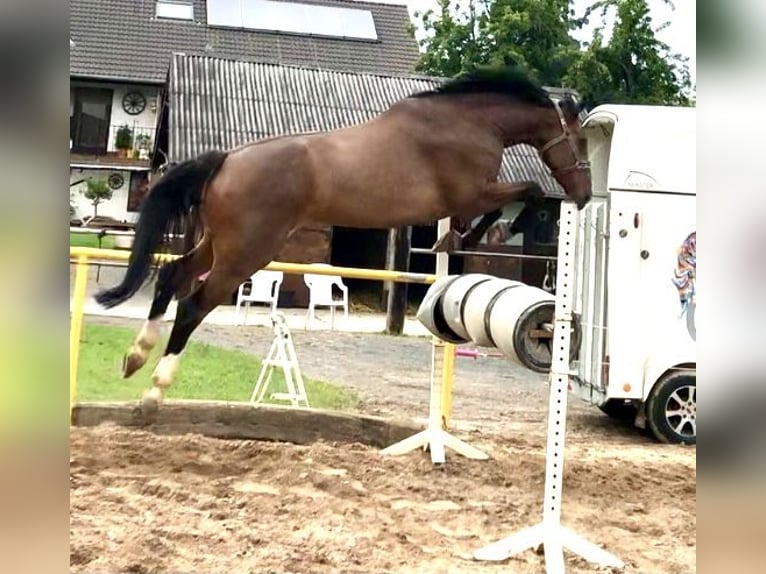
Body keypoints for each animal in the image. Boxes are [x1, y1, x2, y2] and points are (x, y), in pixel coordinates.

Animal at [93, 67, 592, 410]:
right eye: (582, 142)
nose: (585, 195)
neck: (470, 124)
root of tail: (226, 160)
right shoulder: (473, 192)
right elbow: (525, 193)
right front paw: (467, 235)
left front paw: (456, 239)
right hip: (246, 254)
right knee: (192, 305)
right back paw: (155, 391)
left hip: (218, 245)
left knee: (171, 278)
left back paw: (135, 357)